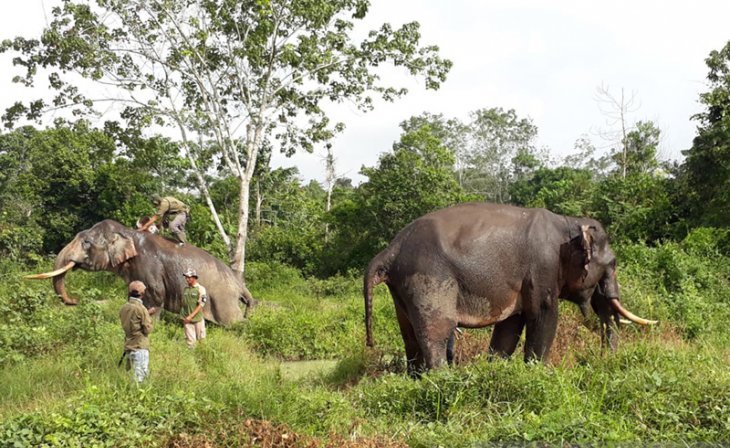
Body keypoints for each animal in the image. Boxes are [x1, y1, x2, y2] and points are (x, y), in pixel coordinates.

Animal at [26, 219, 256, 324]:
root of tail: (240, 285)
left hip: (224, 300)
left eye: (86, 242)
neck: (128, 233)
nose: (75, 300)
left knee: (233, 322)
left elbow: (156, 296)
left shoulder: (149, 266)